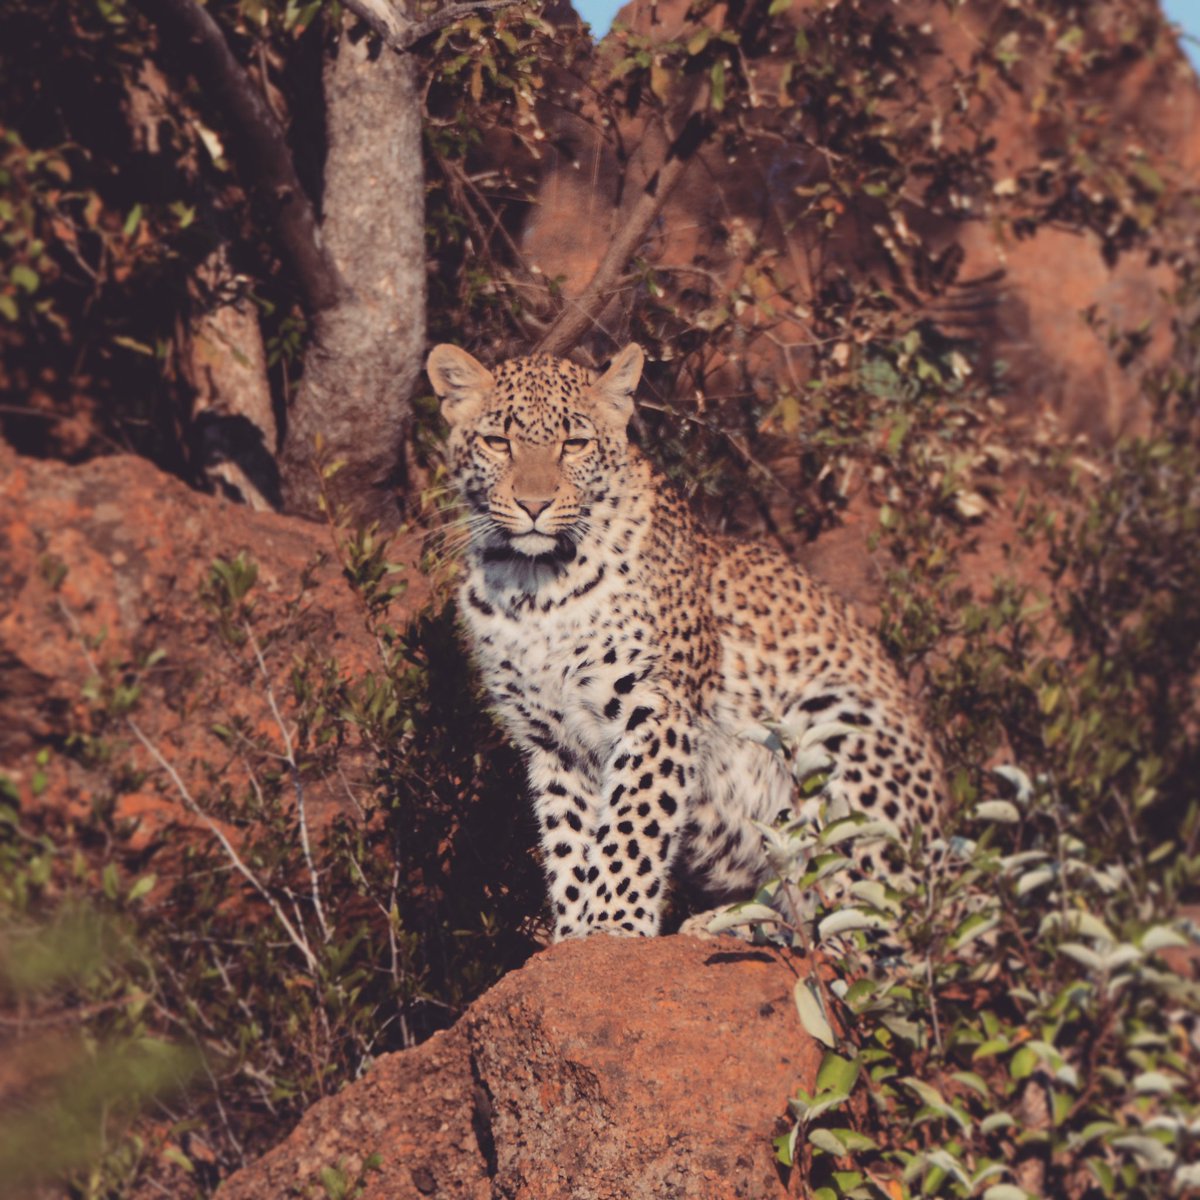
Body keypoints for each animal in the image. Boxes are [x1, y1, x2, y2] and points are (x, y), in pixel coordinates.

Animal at [426, 341, 947, 942]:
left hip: (836, 726)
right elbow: (570, 841)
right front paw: (574, 933)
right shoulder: (553, 742)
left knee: (874, 925)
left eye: (574, 444)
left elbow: (631, 826)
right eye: (498, 441)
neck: (531, 587)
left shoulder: (656, 707)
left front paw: (615, 924)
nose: (534, 505)